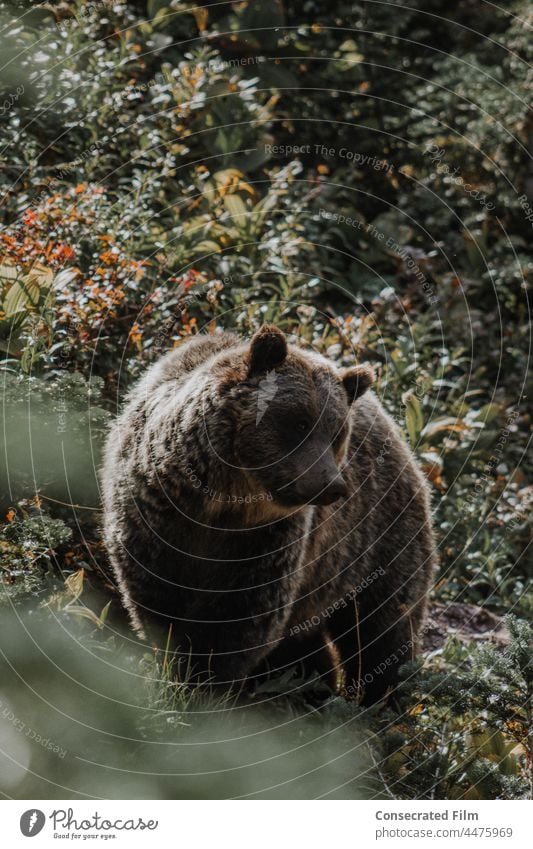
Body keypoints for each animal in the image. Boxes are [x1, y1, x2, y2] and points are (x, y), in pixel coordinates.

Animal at [102, 324, 434, 704]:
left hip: (376, 541)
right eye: (300, 423)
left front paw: (203, 684)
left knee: (384, 623)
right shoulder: (156, 514)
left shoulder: (268, 539)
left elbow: (244, 614)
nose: (331, 485)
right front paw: (176, 674)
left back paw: (378, 697)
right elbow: (157, 597)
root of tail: (405, 445)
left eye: (336, 433)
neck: (221, 502)